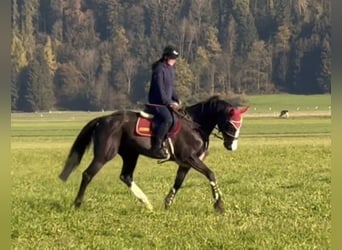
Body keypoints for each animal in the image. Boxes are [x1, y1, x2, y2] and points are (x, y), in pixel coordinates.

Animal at [58, 95, 248, 213]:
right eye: (231, 124)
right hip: (104, 155)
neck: (195, 124)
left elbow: (178, 182)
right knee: (88, 174)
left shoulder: (185, 163)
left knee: (126, 176)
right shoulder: (190, 158)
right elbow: (211, 174)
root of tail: (103, 119)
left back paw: (147, 203)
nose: (231, 146)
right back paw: (77, 203)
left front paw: (167, 202)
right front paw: (219, 205)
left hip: (131, 155)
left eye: (240, 124)